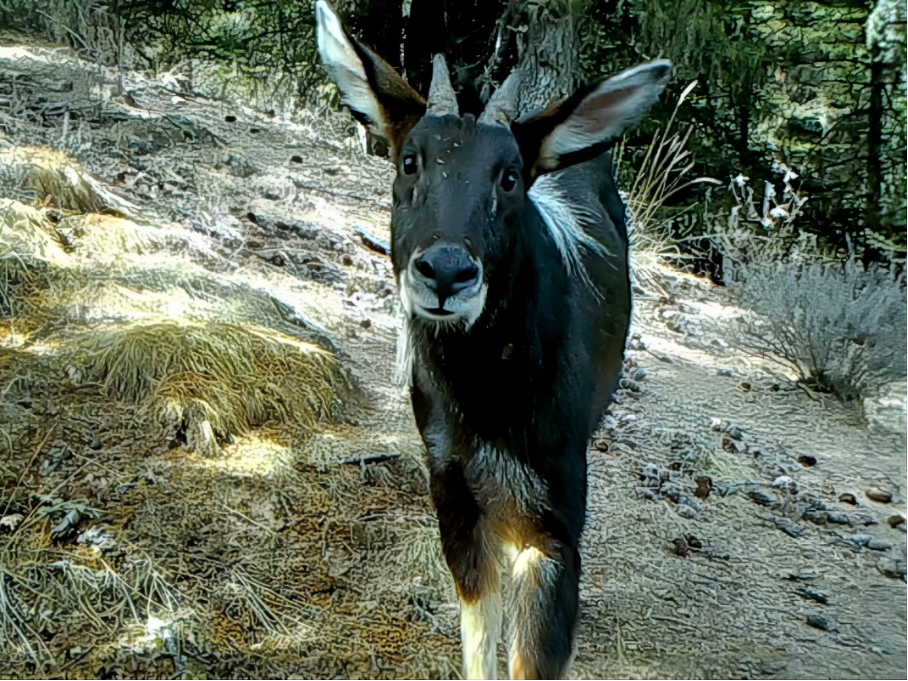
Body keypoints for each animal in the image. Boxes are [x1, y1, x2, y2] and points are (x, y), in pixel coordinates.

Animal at [316, 3, 672, 676]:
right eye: (410, 161)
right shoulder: (451, 488)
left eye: (509, 177)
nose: (447, 272)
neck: (487, 401)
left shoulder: (555, 517)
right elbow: (479, 636)